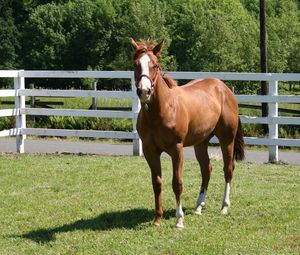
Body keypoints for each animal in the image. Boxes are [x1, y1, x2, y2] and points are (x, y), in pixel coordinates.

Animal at [131, 38, 244, 228]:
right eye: (135, 64)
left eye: (155, 64)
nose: (144, 91)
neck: (161, 110)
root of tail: (224, 88)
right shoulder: (149, 151)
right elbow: (157, 183)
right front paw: (157, 219)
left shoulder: (177, 149)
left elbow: (177, 183)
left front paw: (179, 220)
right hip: (201, 143)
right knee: (207, 170)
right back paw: (198, 206)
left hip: (227, 139)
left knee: (228, 169)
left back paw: (224, 207)